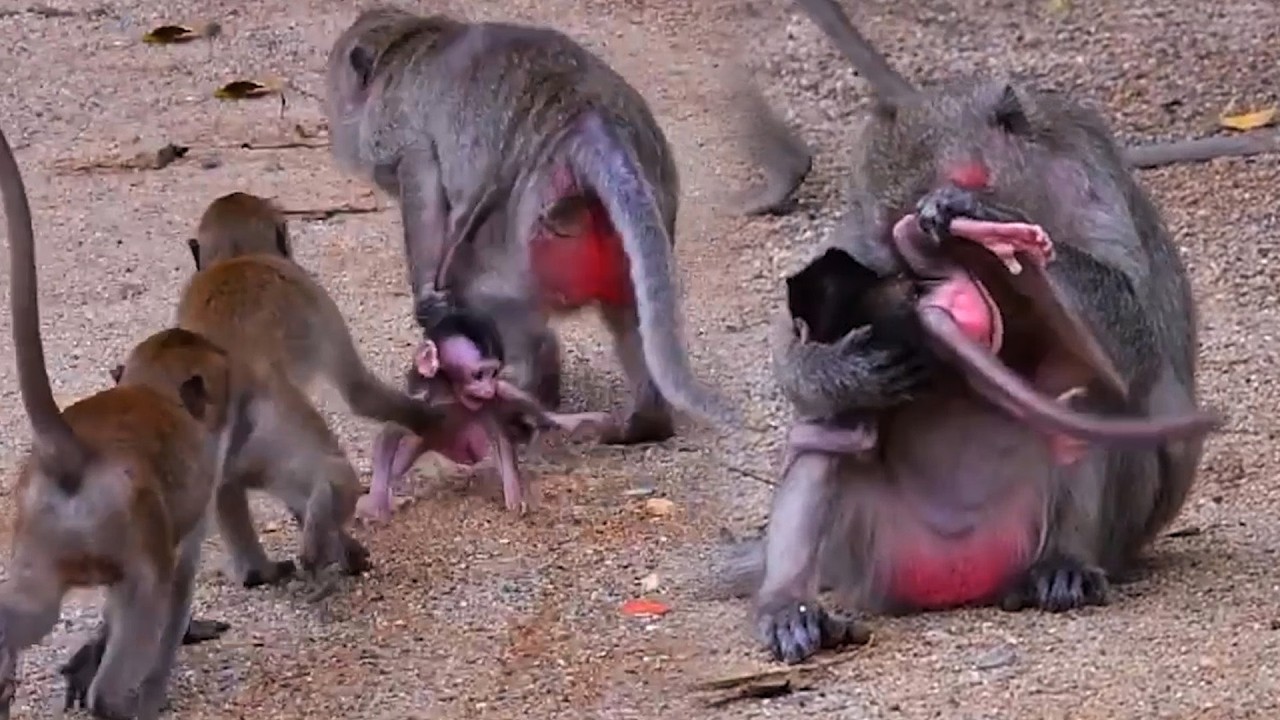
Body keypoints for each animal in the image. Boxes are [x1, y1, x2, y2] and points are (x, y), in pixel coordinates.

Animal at [0, 123, 236, 720]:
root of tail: (74, 451)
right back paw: (117, 701)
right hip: (128, 533)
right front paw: (154, 687)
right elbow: (178, 587)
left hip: (41, 533)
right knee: (146, 603)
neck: (151, 389)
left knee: (28, 612)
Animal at [167, 191, 455, 587]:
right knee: (328, 471)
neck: (237, 257)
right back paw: (325, 524)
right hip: (277, 421)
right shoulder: (315, 295)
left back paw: (262, 569)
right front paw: (428, 418)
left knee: (226, 487)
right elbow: (359, 392)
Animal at [323, 6, 738, 452]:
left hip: (525, 231)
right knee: (631, 314)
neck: (408, 40)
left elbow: (424, 187)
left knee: (488, 293)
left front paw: (428, 296)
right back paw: (645, 423)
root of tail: (588, 118)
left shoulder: (399, 134)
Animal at [717, 74, 1223, 665]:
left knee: (1091, 395)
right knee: (833, 426)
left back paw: (1064, 562)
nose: (927, 289)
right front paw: (848, 367)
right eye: (896, 251)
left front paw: (985, 212)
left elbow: (1136, 336)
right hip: (869, 549)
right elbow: (791, 349)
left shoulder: (1090, 187)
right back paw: (789, 605)